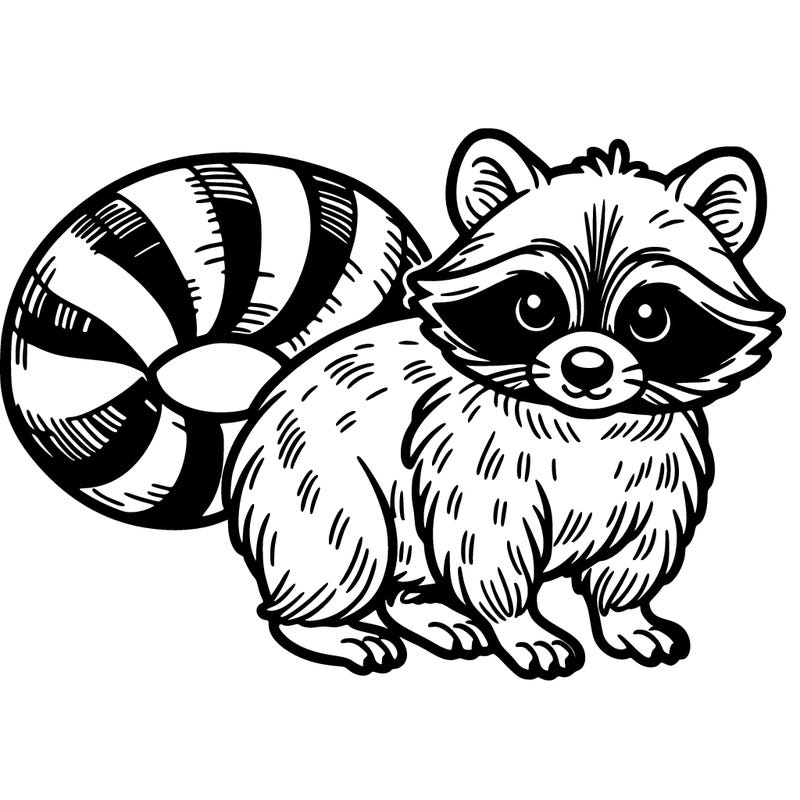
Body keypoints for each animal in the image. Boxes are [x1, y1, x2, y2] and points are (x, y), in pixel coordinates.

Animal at [226, 130, 783, 678]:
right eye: (534, 308)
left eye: (649, 317)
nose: (587, 368)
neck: (584, 428)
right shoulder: (479, 473)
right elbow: (492, 557)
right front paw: (525, 631)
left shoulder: (655, 485)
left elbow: (629, 563)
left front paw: (625, 620)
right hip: (323, 486)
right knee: (342, 553)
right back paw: (332, 629)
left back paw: (429, 614)